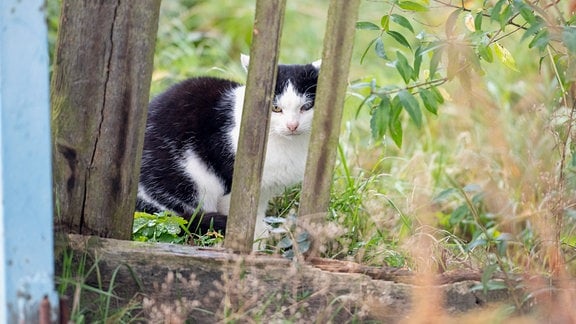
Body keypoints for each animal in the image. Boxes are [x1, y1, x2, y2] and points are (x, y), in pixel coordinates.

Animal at [137, 55, 322, 243]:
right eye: (276, 108)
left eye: (306, 107)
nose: (292, 126)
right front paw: (253, 240)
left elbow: (258, 209)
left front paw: (261, 235)